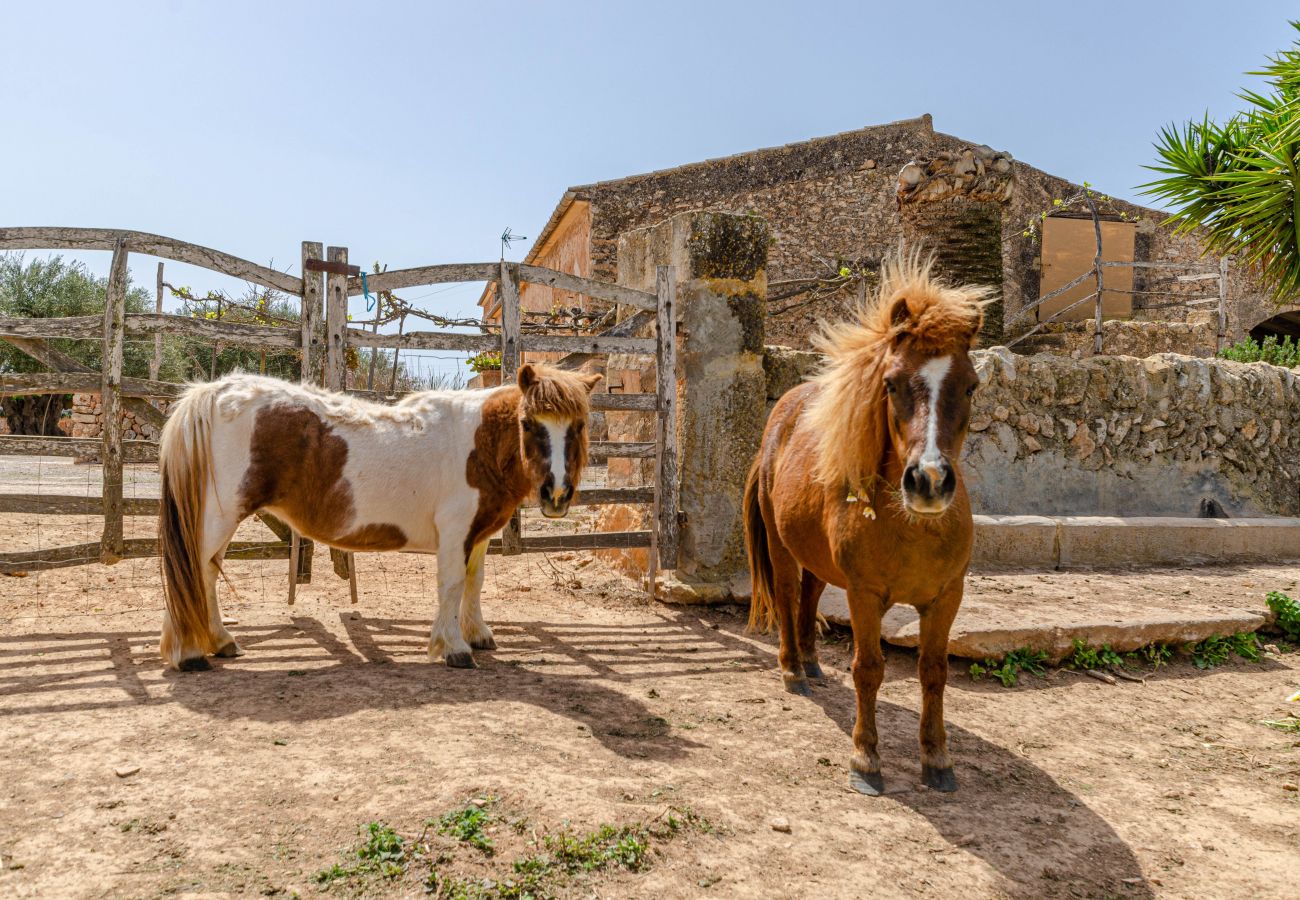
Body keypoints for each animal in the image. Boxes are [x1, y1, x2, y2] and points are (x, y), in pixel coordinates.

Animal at [156, 364, 598, 665]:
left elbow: (474, 583)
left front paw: (477, 635)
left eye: (578, 425)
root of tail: (212, 394)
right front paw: (453, 647)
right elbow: (452, 585)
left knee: (206, 574)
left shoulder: (478, 535)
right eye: (529, 423)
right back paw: (189, 653)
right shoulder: (455, 532)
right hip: (218, 518)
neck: (477, 443)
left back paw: (220, 642)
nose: (557, 494)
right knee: (193, 570)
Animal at [748, 253, 987, 795]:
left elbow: (934, 672)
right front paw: (865, 758)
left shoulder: (947, 597)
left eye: (970, 385)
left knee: (810, 597)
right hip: (782, 550)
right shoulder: (864, 595)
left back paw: (811, 661)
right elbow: (869, 669)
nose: (929, 480)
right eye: (892, 383)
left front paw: (937, 759)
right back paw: (793, 669)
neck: (913, 530)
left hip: (816, 558)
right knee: (789, 598)